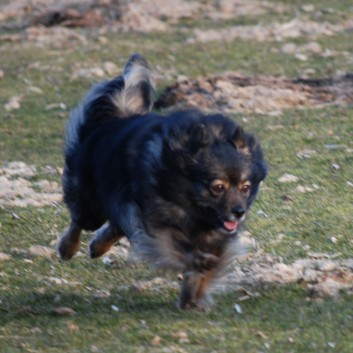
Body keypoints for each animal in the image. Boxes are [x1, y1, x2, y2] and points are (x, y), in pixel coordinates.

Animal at [58, 53, 266, 310]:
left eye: (245, 188)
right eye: (218, 188)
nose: (239, 212)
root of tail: (112, 121)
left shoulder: (215, 236)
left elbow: (202, 271)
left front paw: (190, 299)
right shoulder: (156, 222)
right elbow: (179, 248)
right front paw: (198, 265)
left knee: (116, 225)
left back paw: (98, 247)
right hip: (92, 204)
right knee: (79, 221)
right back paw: (67, 248)